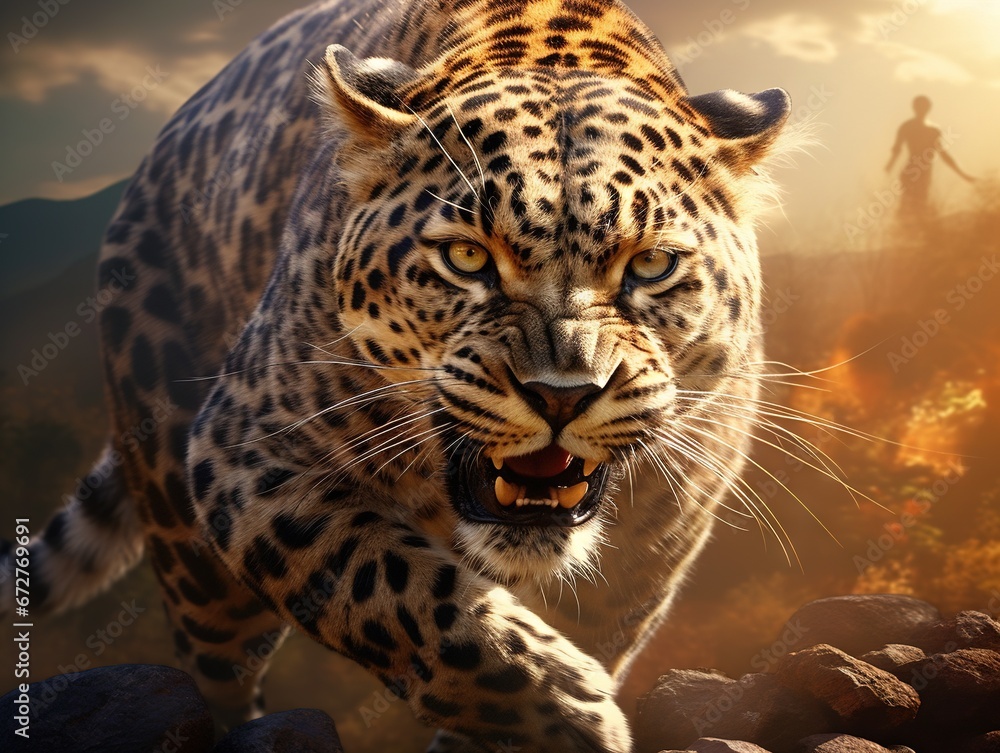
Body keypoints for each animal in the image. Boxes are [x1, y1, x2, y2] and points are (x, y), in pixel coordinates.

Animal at [1, 0, 793, 750]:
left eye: (651, 265)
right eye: (467, 258)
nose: (560, 396)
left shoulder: (656, 538)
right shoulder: (243, 445)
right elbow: (385, 585)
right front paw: (567, 706)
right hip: (185, 530)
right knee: (212, 676)